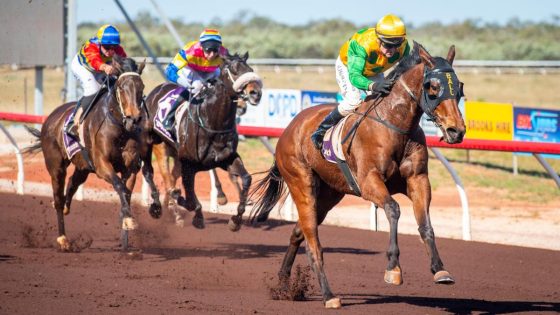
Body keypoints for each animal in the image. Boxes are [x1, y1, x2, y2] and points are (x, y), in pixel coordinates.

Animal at [23, 56, 155, 253]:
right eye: (122, 87)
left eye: (142, 86)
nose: (134, 119)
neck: (119, 128)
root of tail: (50, 118)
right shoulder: (102, 165)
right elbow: (120, 187)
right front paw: (129, 221)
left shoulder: (130, 167)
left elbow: (126, 193)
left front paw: (126, 226)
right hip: (56, 166)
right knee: (58, 197)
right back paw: (63, 239)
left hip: (83, 167)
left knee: (72, 183)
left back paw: (67, 208)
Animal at [140, 51, 262, 230]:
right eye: (233, 71)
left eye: (250, 69)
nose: (256, 93)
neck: (213, 122)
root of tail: (154, 91)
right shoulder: (189, 165)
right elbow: (190, 200)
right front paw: (196, 215)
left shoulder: (226, 158)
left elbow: (246, 178)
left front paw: (236, 219)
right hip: (156, 147)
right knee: (155, 174)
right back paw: (160, 208)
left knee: (171, 178)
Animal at [252, 43, 466, 310]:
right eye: (432, 87)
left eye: (459, 87)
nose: (456, 131)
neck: (394, 124)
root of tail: (289, 128)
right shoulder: (368, 181)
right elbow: (393, 209)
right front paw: (393, 269)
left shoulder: (418, 179)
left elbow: (425, 224)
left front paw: (440, 270)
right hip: (302, 184)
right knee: (313, 243)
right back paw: (329, 296)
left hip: (328, 195)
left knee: (298, 233)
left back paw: (284, 284)